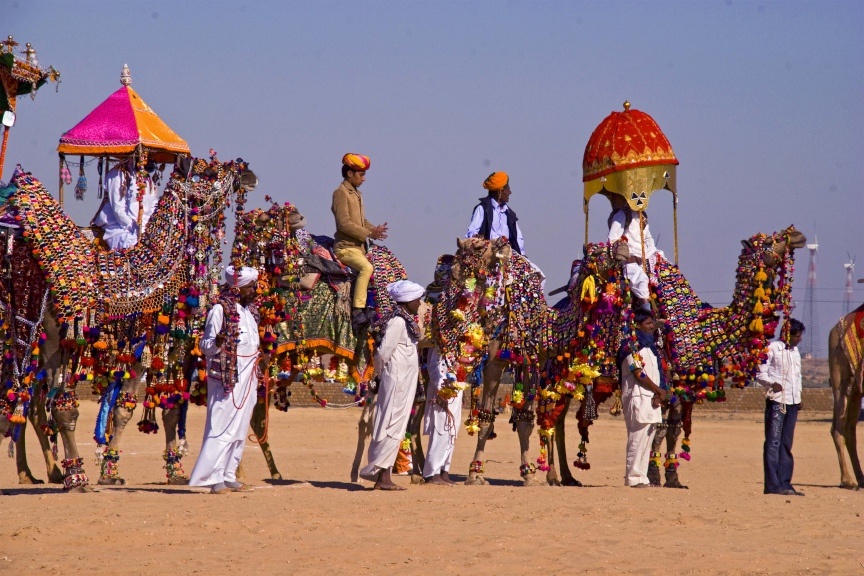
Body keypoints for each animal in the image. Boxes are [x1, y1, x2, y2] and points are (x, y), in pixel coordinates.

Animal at [0, 159, 256, 490]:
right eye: (208, 169)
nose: (249, 173)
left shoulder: (169, 349)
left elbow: (168, 408)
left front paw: (174, 471)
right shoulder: (124, 348)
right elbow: (108, 408)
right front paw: (95, 473)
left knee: (23, 401)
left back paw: (35, 472)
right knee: (36, 402)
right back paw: (57, 473)